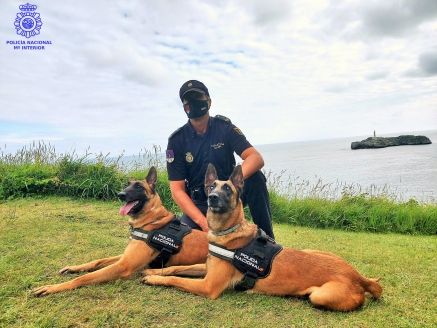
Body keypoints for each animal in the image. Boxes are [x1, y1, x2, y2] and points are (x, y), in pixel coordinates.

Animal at [33, 168, 207, 296]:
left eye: (138, 187)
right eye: (126, 185)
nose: (120, 195)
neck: (151, 221)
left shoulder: (123, 265)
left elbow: (84, 278)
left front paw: (53, 287)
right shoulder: (124, 257)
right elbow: (98, 261)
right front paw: (74, 268)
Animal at [144, 165, 382, 312]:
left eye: (227, 189)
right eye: (212, 186)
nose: (212, 198)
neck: (229, 232)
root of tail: (359, 278)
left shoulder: (208, 286)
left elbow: (177, 279)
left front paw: (156, 279)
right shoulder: (207, 268)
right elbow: (178, 268)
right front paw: (153, 271)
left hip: (320, 295)